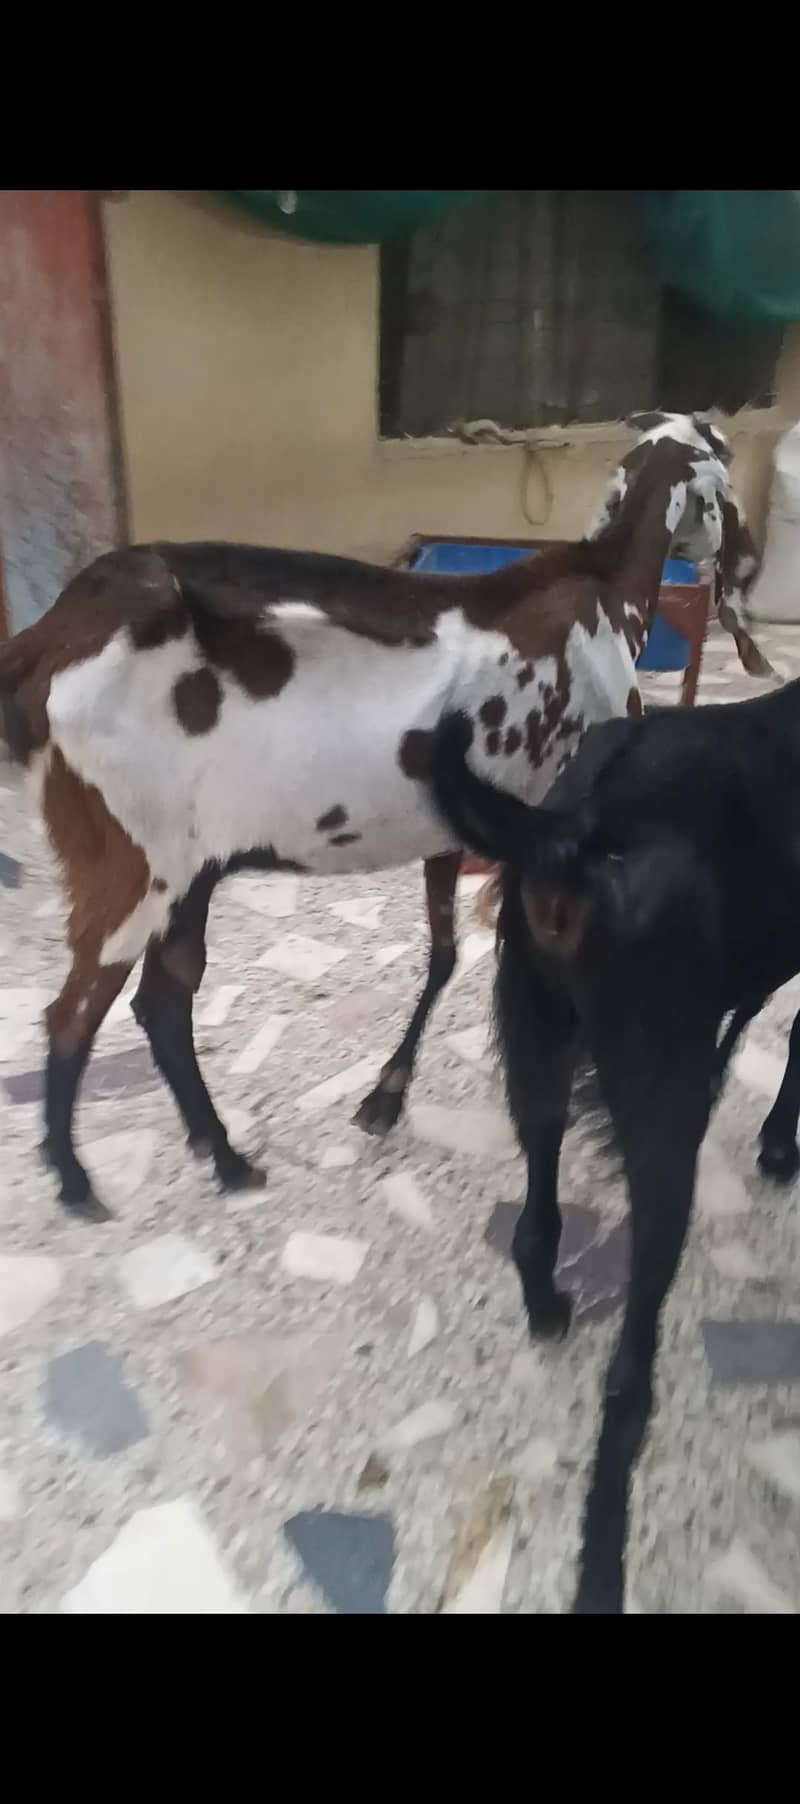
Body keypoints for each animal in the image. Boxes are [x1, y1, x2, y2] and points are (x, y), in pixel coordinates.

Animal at [0, 413, 770, 1221]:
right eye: (724, 482)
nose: (748, 558)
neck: (603, 591)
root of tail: (50, 639)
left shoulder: (453, 830)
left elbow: (444, 955)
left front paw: (386, 1096)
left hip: (189, 870)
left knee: (165, 1002)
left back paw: (225, 1156)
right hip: (129, 862)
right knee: (73, 1013)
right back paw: (76, 1179)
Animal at [429, 681, 800, 1614]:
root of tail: (587, 820)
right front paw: (780, 1144)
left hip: (534, 1049)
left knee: (535, 1224)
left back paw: (548, 1307)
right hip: (661, 1124)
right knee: (628, 1388)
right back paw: (601, 1571)